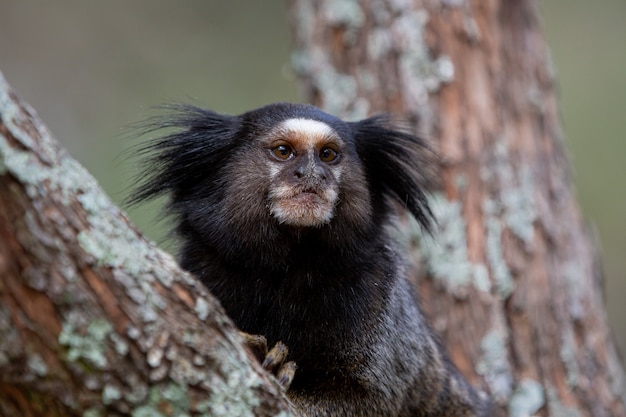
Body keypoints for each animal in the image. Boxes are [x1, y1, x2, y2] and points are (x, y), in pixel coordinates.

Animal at [128, 101, 488, 416]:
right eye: (283, 151)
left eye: (328, 155)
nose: (312, 174)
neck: (284, 269)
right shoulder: (203, 267)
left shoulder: (378, 292)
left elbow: (370, 399)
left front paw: (275, 368)